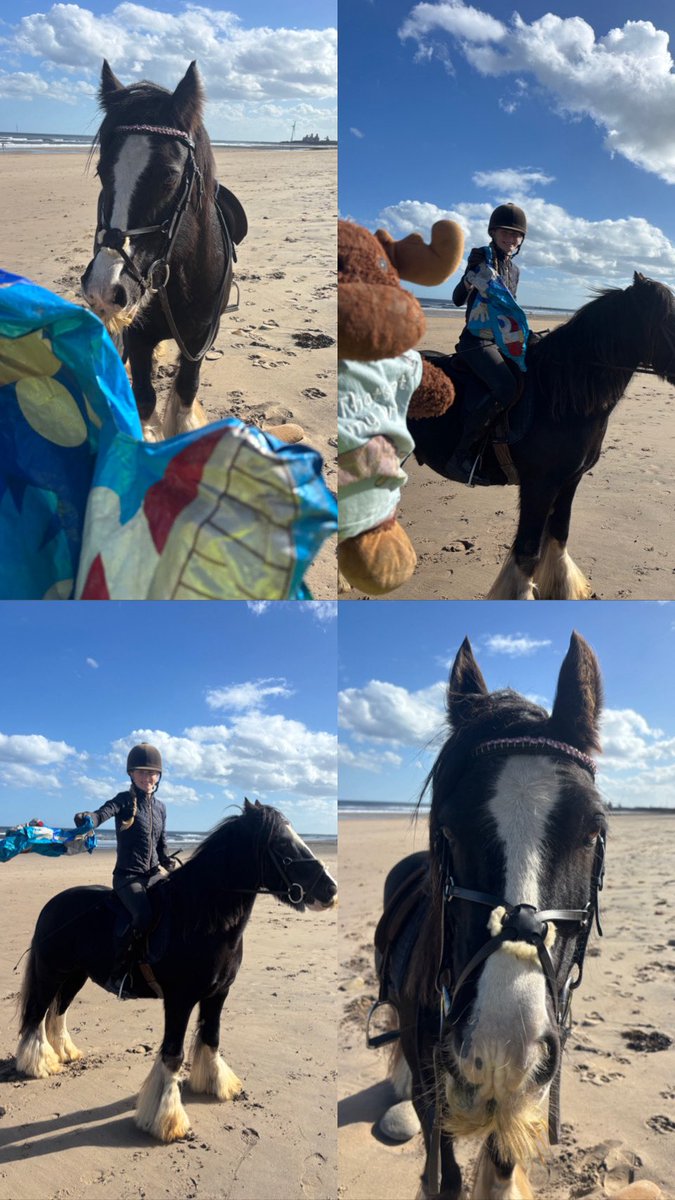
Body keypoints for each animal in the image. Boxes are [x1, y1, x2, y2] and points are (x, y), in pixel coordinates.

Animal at [15, 799, 337, 1143]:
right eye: (281, 843)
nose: (330, 889)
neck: (201, 916)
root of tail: (53, 905)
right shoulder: (180, 1000)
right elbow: (173, 1055)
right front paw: (167, 1120)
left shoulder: (218, 994)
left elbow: (212, 1037)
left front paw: (216, 1084)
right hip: (51, 973)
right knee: (36, 1013)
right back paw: (38, 1064)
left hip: (75, 976)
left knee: (57, 1011)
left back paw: (64, 1053)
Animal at [81, 60, 247, 441]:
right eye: (101, 172)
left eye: (169, 177)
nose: (104, 288)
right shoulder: (139, 336)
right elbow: (144, 399)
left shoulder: (199, 339)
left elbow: (186, 392)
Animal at [369, 633, 607, 1199]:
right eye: (449, 830)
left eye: (593, 829)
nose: (503, 1052)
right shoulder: (433, 1089)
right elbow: (445, 1173)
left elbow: (499, 1166)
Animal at [408, 273, 675, 599]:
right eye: (668, 318)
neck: (561, 397)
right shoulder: (540, 485)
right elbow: (528, 552)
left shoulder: (570, 480)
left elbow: (559, 534)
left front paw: (562, 588)